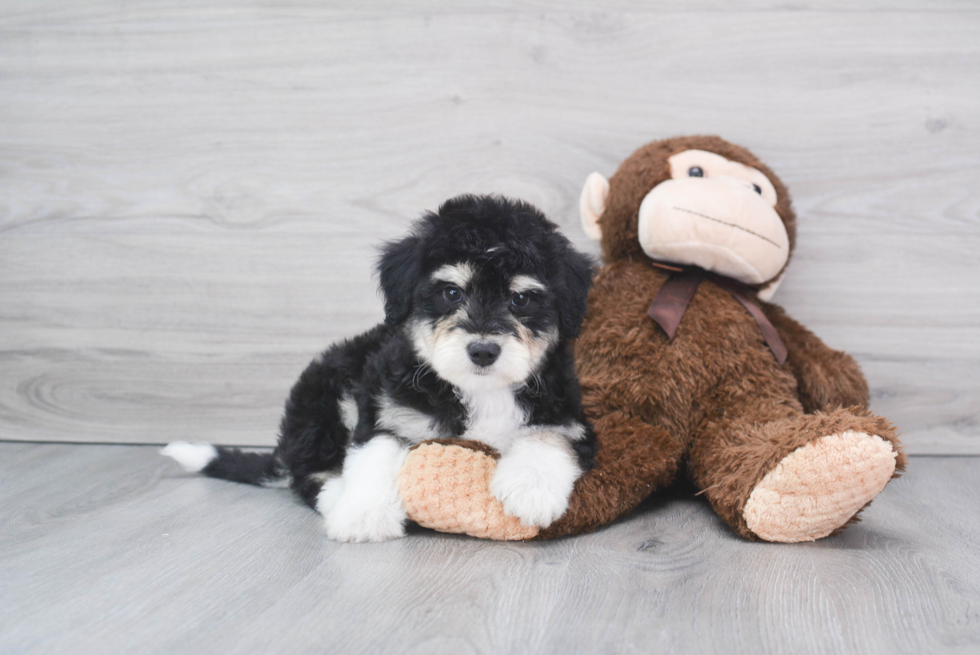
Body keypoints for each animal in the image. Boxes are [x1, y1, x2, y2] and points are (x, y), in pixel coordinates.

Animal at [163, 195, 596, 544]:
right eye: (451, 292)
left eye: (520, 299)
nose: (483, 350)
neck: (477, 391)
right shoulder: (387, 410)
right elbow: (375, 454)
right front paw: (364, 515)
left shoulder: (568, 415)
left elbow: (548, 436)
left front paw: (530, 490)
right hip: (326, 396)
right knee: (307, 475)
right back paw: (336, 495)